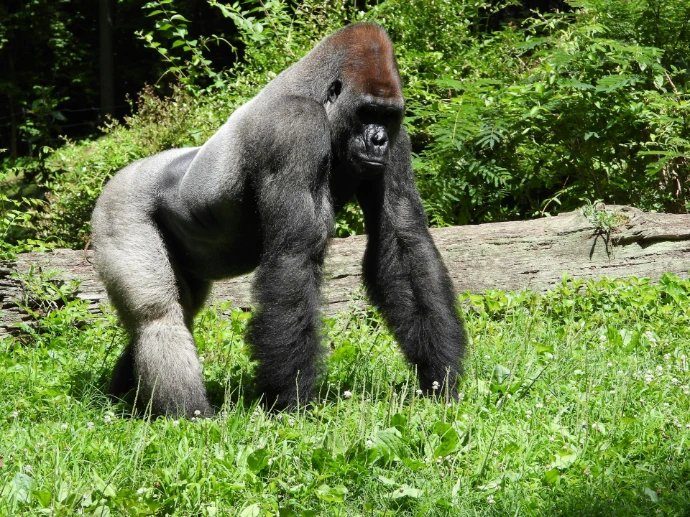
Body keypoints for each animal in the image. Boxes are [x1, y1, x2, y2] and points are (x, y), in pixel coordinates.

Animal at [91, 22, 466, 418]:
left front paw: (439, 377)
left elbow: (402, 239)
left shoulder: (398, 140)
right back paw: (189, 414)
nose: (378, 140)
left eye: (388, 116)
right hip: (119, 206)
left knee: (178, 311)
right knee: (158, 316)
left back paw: (123, 398)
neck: (320, 99)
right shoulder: (295, 127)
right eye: (367, 112)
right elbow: (294, 254)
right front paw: (292, 398)